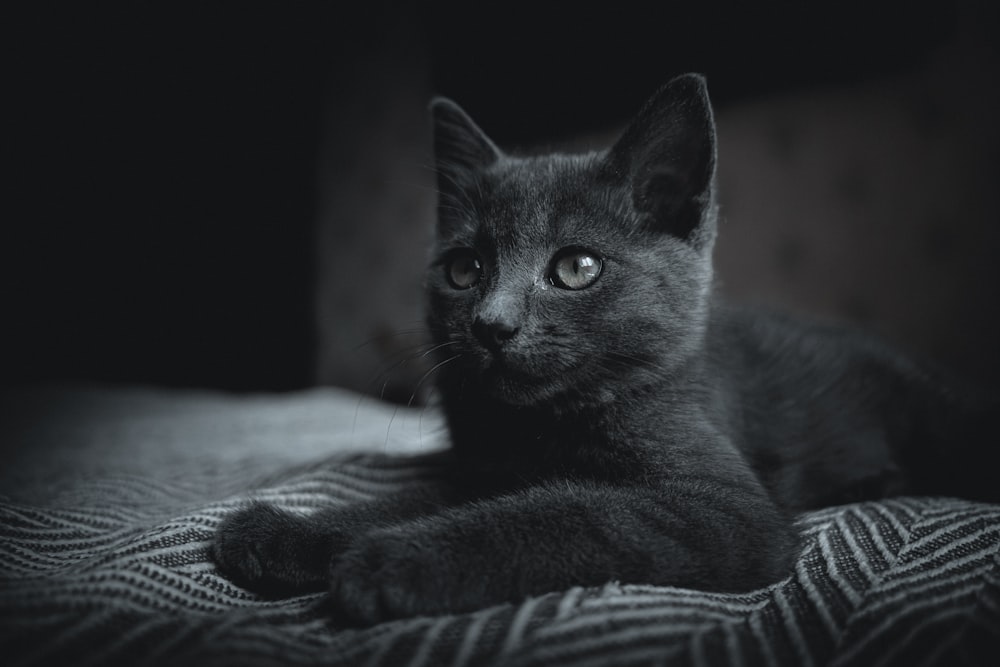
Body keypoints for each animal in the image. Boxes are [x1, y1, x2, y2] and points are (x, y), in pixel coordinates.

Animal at [209, 73, 992, 628]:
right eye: (464, 270)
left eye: (576, 268)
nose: (490, 324)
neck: (541, 426)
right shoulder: (485, 466)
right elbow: (427, 494)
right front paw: (291, 532)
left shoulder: (725, 507)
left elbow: (571, 511)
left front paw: (393, 560)